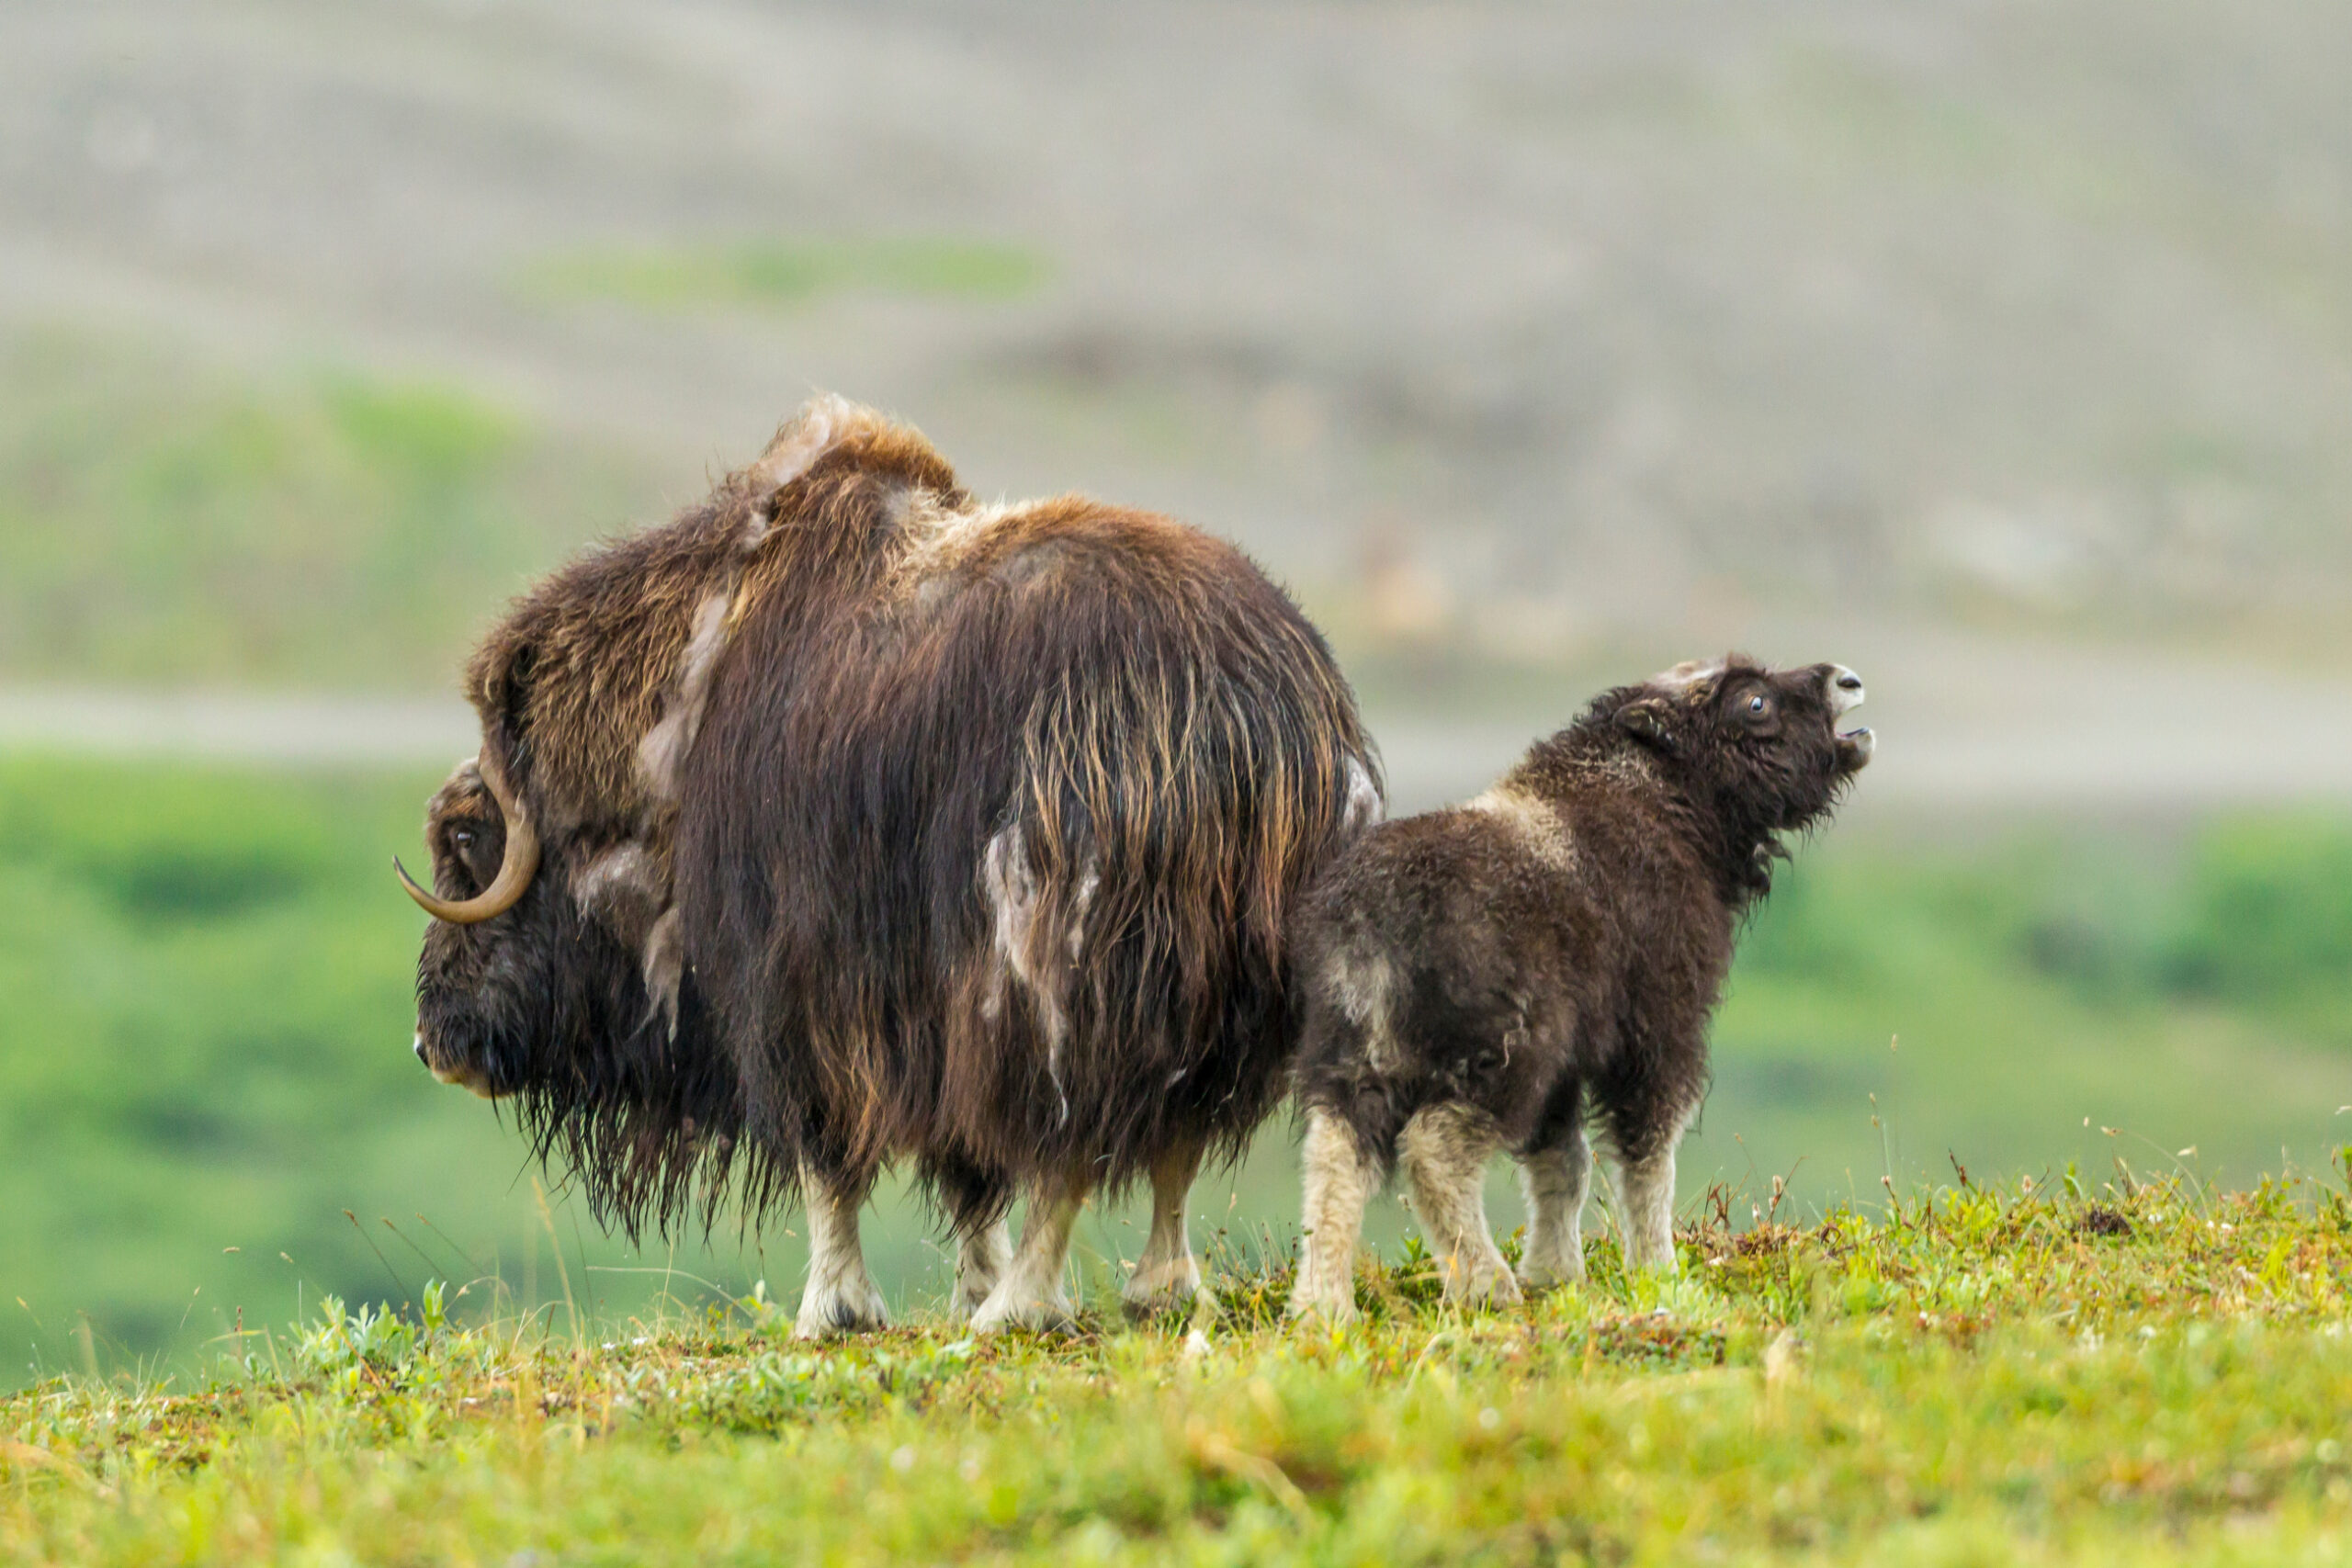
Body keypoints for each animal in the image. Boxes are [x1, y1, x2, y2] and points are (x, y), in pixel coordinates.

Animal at [401, 397, 1380, 1335]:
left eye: (463, 836)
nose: (429, 1042)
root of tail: (1253, 710)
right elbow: (970, 1171)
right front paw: (957, 1284)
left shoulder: (800, 993)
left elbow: (828, 1157)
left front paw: (833, 1310)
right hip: (1221, 990)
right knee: (1173, 1133)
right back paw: (1154, 1293)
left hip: (1060, 971)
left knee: (1071, 1140)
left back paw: (1019, 1308)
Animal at [1283, 656, 1871, 1323]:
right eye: (1754, 702)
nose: (1846, 680)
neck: (1665, 798)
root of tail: (1369, 916)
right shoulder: (1657, 1032)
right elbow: (1645, 1158)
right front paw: (1659, 1272)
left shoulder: (1566, 1071)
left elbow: (1562, 1163)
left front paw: (1555, 1274)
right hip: (1501, 1057)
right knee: (1432, 1150)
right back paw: (1486, 1285)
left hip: (1353, 1057)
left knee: (1336, 1158)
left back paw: (1323, 1307)